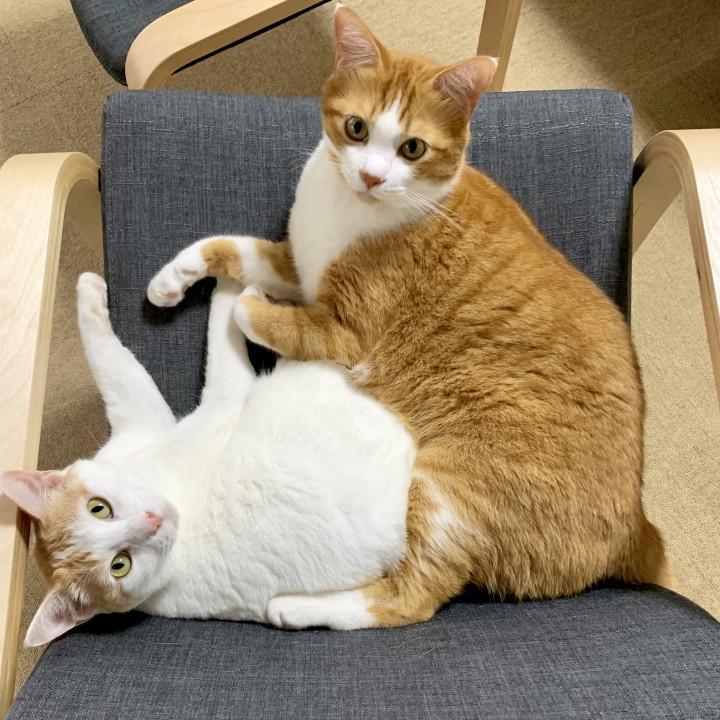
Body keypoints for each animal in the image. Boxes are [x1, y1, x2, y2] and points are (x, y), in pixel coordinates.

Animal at [0, 272, 415, 646]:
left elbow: (111, 365)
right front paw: (229, 284)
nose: (153, 521)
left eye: (97, 508)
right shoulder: (222, 399)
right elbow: (206, 341)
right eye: (120, 565)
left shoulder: (138, 425)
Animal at [146, 5, 669, 630]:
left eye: (413, 149)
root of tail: (636, 529)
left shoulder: (343, 331)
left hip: (450, 490)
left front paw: (256, 304)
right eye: (357, 129)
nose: (372, 176)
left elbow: (255, 309)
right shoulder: (298, 263)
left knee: (414, 597)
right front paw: (171, 279)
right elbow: (228, 245)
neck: (349, 211)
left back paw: (297, 606)